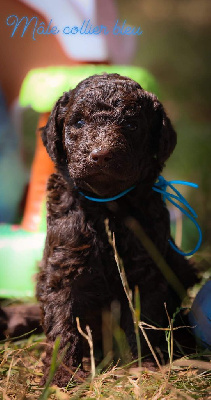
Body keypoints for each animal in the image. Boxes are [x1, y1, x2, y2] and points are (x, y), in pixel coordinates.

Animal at [36, 73, 198, 386]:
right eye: (79, 122)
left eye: (132, 125)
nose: (101, 155)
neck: (107, 208)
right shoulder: (63, 266)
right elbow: (62, 321)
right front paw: (61, 375)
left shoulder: (146, 268)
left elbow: (142, 318)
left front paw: (143, 365)